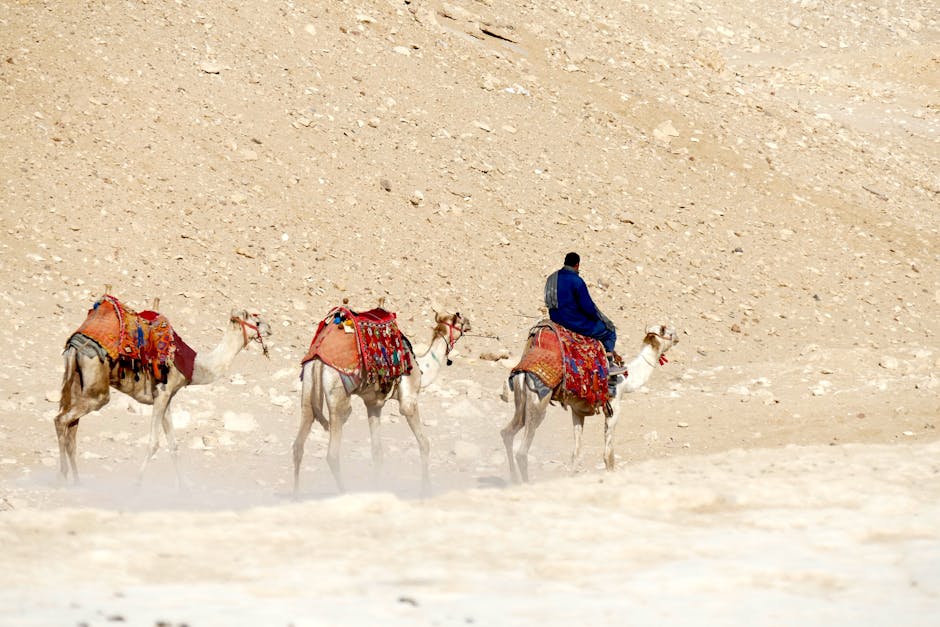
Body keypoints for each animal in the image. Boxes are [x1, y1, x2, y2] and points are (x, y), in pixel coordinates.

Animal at [54, 306, 271, 486]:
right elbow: (154, 443)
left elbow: (173, 445)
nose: (270, 328)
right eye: (256, 319)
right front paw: (137, 485)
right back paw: (63, 477)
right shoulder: (162, 394)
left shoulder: (168, 400)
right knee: (61, 420)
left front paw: (184, 488)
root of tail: (74, 345)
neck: (194, 365)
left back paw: (77, 481)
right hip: (96, 386)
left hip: (78, 381)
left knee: (71, 430)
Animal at [292, 310, 470, 495]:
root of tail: (318, 358)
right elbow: (424, 443)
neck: (421, 367)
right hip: (337, 392)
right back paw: (344, 492)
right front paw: (426, 489)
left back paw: (296, 495)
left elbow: (377, 452)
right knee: (333, 452)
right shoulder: (409, 400)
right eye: (460, 319)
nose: (470, 323)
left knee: (299, 441)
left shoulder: (374, 404)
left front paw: (376, 488)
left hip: (308, 384)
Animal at [501, 324, 678, 483]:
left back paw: (514, 479)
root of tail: (522, 372)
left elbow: (576, 453)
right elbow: (608, 455)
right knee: (522, 451)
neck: (628, 378)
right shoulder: (614, 407)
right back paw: (525, 483)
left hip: (522, 402)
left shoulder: (577, 411)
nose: (677, 336)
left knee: (507, 432)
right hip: (538, 400)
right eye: (666, 331)